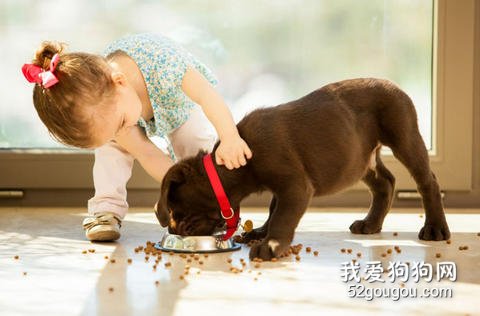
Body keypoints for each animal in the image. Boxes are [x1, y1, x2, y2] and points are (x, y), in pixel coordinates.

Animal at [154, 78, 450, 260]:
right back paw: (371, 223)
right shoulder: (282, 187)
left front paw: (270, 245)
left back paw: (435, 228)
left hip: (404, 136)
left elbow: (283, 216)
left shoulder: (294, 186)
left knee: (427, 181)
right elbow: (273, 209)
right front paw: (261, 233)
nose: (176, 230)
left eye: (177, 211)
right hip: (360, 158)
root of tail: (394, 84)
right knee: (385, 182)